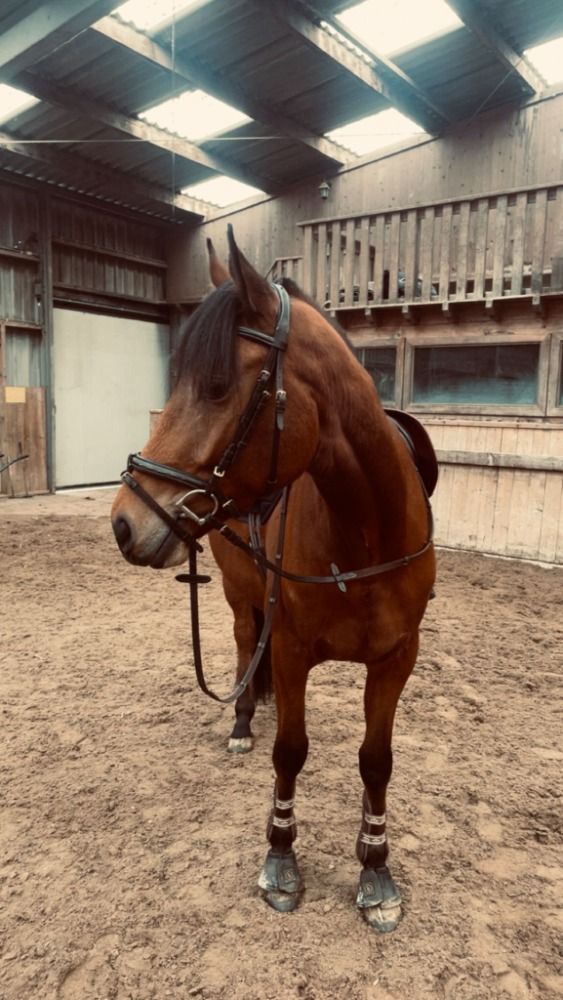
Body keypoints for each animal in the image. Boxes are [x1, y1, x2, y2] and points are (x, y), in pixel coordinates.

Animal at [111, 226, 437, 931]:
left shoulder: (396, 658)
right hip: (239, 595)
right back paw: (240, 722)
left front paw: (376, 871)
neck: (364, 533)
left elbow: (376, 760)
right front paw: (281, 861)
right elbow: (290, 749)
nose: (125, 523)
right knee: (241, 641)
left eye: (216, 386)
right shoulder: (289, 650)